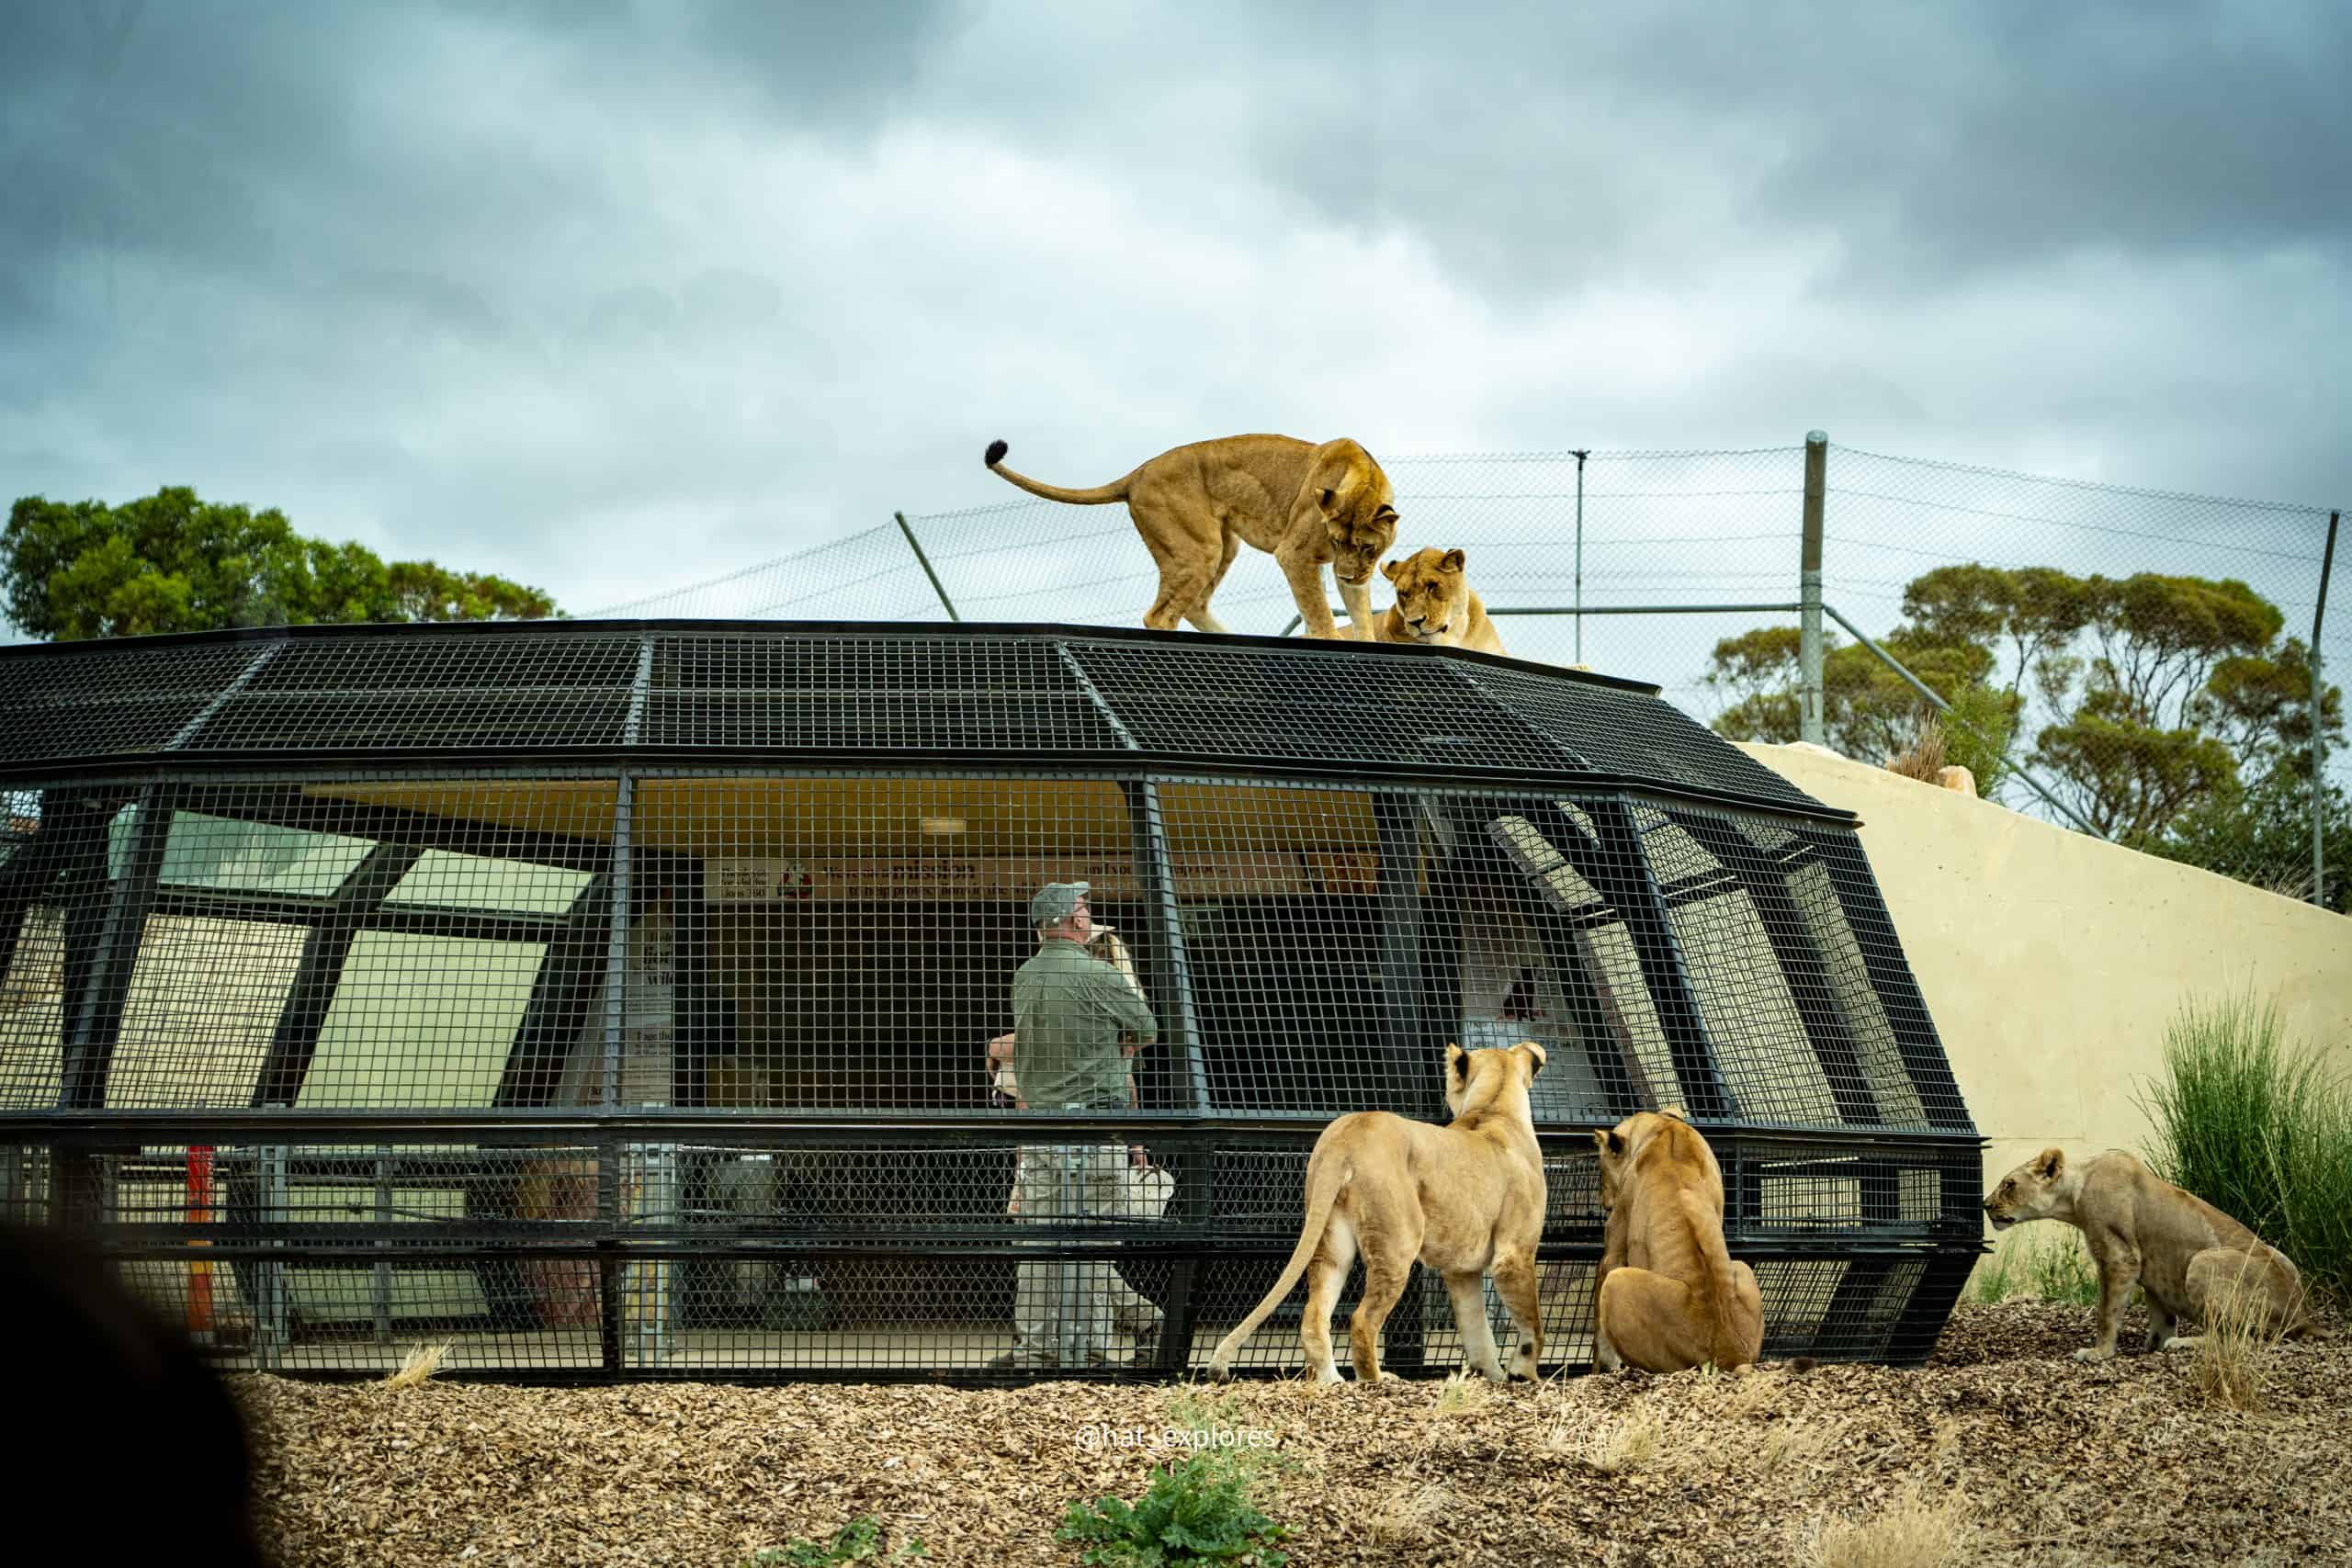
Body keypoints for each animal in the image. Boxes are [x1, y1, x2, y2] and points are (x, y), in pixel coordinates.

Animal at [983, 435, 1400, 642]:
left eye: (1365, 547)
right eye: (1336, 541)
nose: (1346, 574)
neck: (1365, 478)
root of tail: (1136, 474)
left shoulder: (1352, 575)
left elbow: (1361, 617)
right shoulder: (1294, 554)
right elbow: (1320, 614)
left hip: (1224, 543)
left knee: (1194, 604)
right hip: (1199, 548)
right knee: (1160, 615)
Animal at [1206, 1042, 1549, 1385]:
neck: (1494, 1108)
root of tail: (1348, 1133)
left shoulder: (1461, 1270)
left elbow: (1477, 1328)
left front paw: (1493, 1376)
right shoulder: (1513, 1254)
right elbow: (1532, 1325)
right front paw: (1523, 1374)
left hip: (1331, 1240)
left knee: (1314, 1315)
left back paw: (1333, 1380)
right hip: (1398, 1241)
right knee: (1362, 1320)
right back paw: (1378, 1379)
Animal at [1590, 1108, 1763, 1374]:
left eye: (1600, 1170)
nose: (1603, 1200)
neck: (1664, 1125)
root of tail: (1729, 1351)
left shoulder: (1616, 1238)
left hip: (1618, 1282)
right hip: (1742, 1268)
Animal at [1982, 1147, 2313, 1361]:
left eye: (2009, 1184)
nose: (1985, 1205)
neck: (2076, 1191)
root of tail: (2302, 1315)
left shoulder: (2120, 1256)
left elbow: (2107, 1311)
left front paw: (2099, 1352)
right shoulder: (2152, 1270)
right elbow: (2161, 1316)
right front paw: (2151, 1346)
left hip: (2202, 1261)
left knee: (2239, 1338)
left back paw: (2183, 1343)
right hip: (2282, 1259)